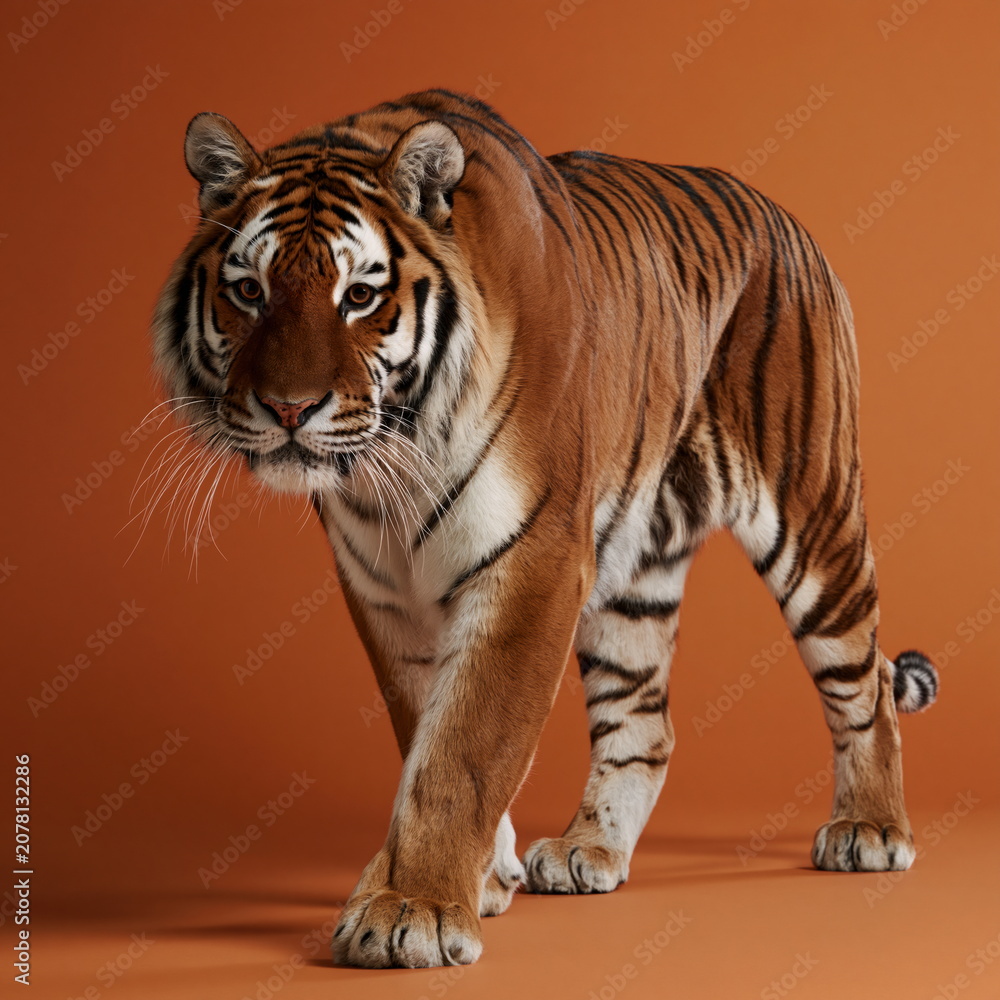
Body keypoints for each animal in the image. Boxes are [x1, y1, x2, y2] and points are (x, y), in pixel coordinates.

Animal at [151, 89, 939, 969]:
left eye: (358, 296)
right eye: (248, 291)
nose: (289, 410)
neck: (398, 461)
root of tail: (783, 216)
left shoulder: (534, 562)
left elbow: (465, 747)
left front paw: (412, 910)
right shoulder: (383, 589)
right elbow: (424, 727)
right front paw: (481, 879)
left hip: (813, 520)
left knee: (866, 680)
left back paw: (870, 829)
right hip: (634, 575)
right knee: (646, 722)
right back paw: (589, 849)